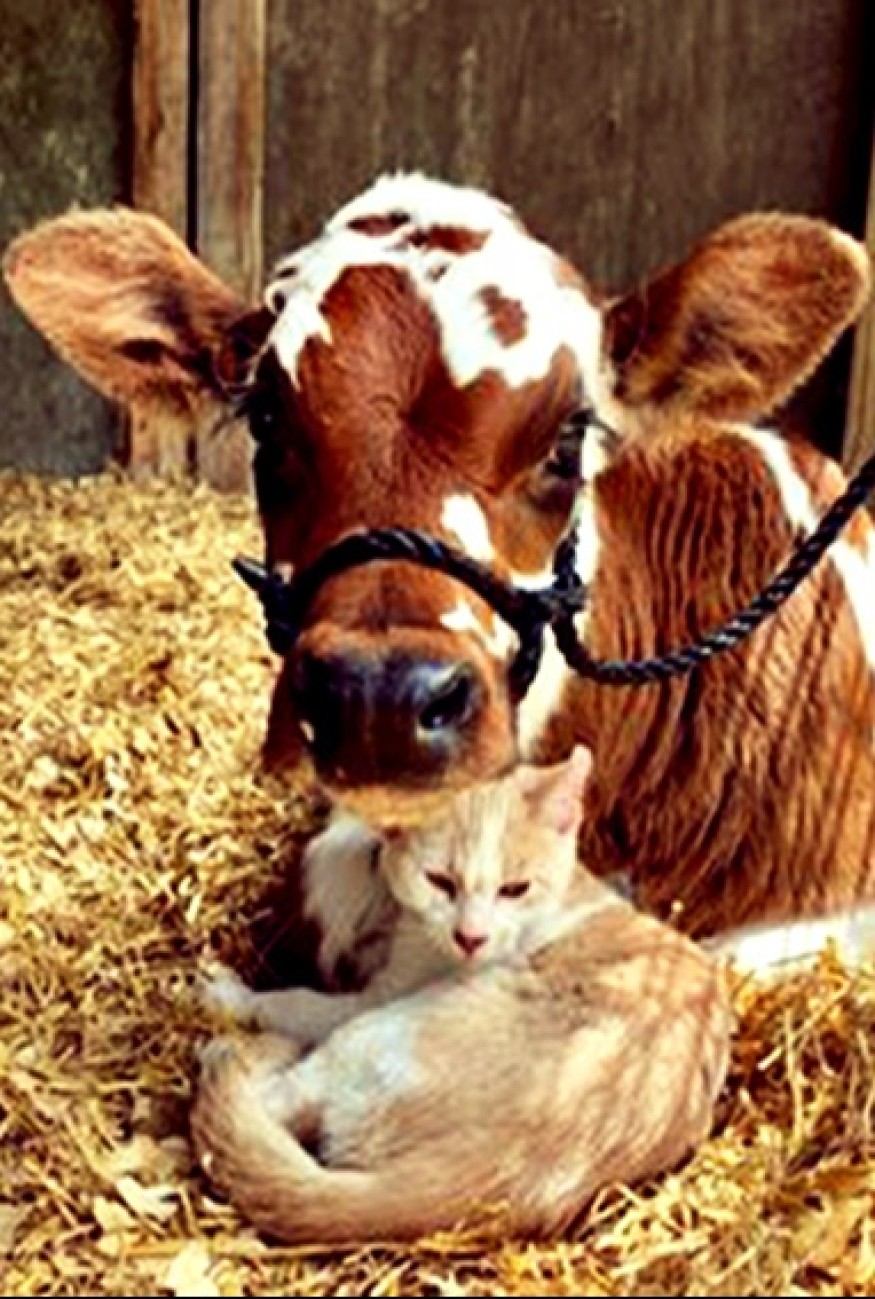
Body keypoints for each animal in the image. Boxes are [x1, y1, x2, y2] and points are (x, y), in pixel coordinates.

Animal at [192, 747, 732, 1244]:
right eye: (439, 881)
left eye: (514, 889)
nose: (471, 938)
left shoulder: (380, 996)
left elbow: (296, 1002)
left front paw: (232, 995)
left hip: (377, 1032)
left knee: (267, 1101)